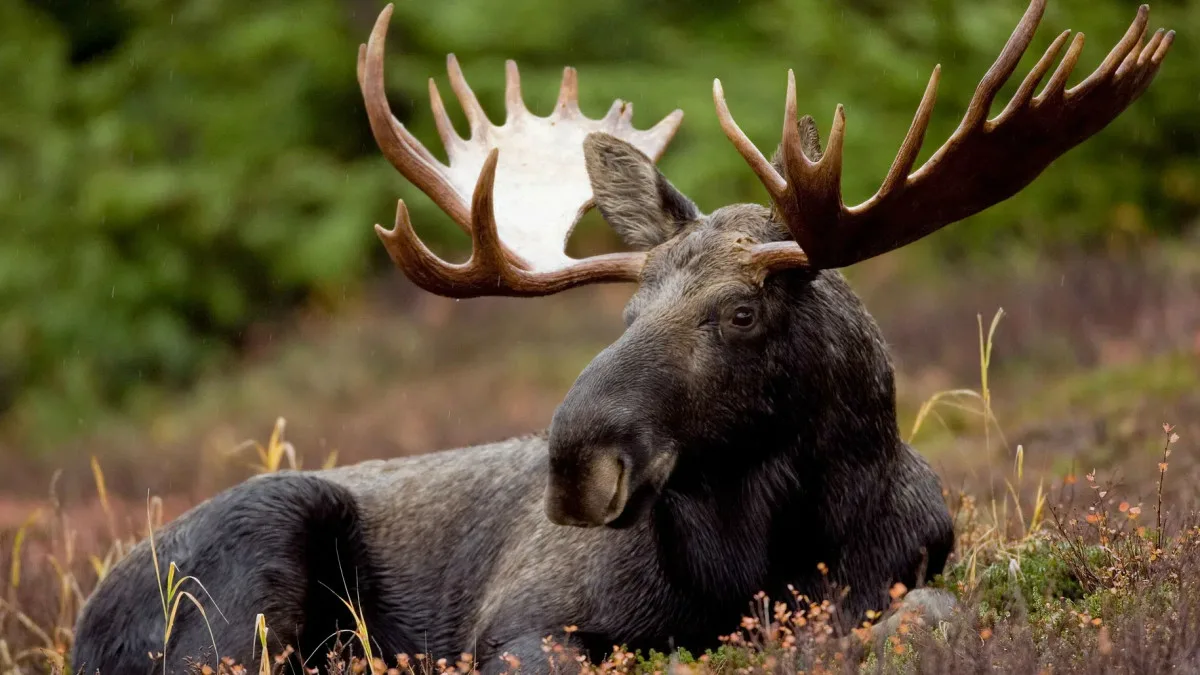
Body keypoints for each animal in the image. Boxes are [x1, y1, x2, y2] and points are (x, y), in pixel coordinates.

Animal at [72, 1, 1173, 673]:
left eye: (740, 312)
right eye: (628, 313)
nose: (575, 463)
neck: (759, 560)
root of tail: (88, 613)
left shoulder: (905, 576)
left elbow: (930, 617)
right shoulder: (522, 623)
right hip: (243, 582)